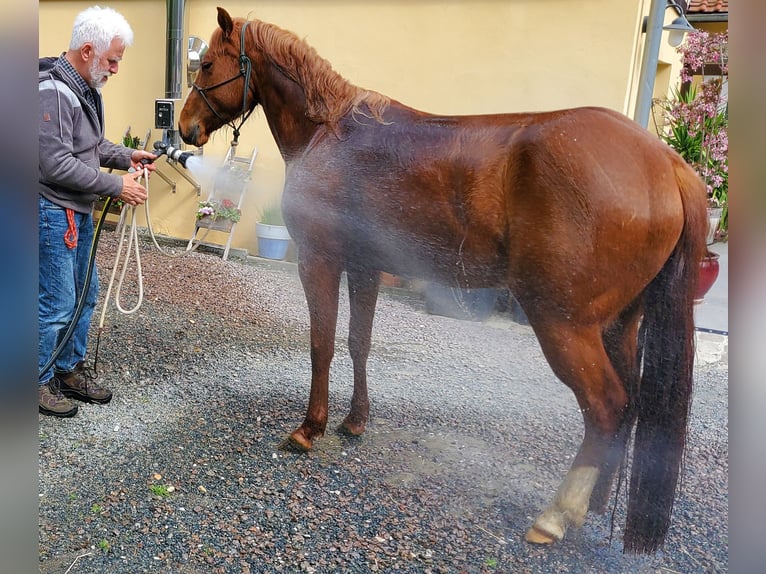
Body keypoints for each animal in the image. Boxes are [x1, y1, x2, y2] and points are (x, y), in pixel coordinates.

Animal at [178, 7, 708, 554]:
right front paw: (355, 421)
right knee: (629, 406)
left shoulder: (321, 260)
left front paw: (310, 428)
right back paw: (597, 501)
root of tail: (667, 165)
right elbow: (358, 342)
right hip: (619, 325)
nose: (185, 127)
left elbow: (321, 343)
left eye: (208, 63)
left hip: (565, 324)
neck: (330, 132)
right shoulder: (365, 266)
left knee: (606, 406)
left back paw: (557, 514)